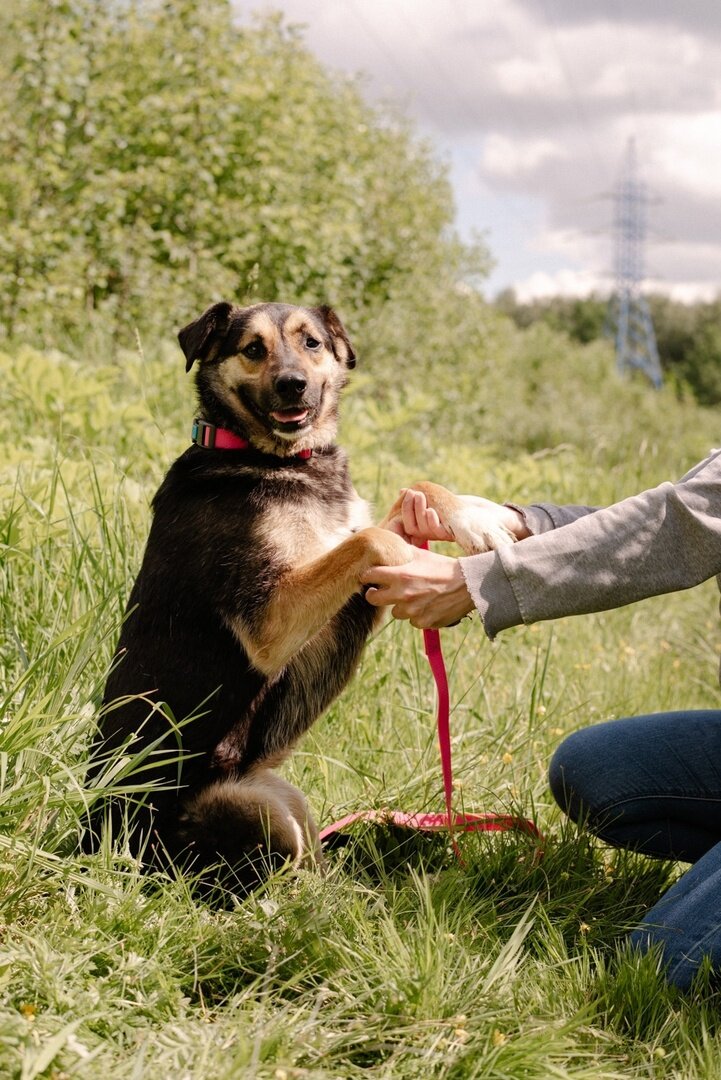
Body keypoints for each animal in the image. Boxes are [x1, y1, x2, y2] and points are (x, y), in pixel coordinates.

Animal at [84, 302, 511, 894]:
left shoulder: (346, 588)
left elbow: (412, 493)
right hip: (249, 812)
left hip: (281, 794)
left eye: (311, 343)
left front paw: (477, 518)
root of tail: (88, 841)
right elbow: (373, 539)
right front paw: (441, 574)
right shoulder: (271, 620)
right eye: (253, 349)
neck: (282, 462)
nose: (293, 385)